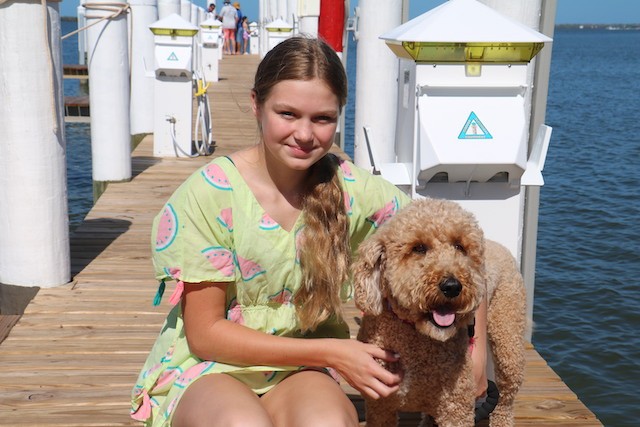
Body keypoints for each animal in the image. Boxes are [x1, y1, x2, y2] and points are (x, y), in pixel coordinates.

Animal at [352, 198, 526, 427]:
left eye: (459, 246)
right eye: (419, 248)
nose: (452, 286)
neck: (415, 338)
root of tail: (500, 246)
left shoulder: (456, 408)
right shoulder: (380, 407)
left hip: (508, 337)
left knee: (506, 396)